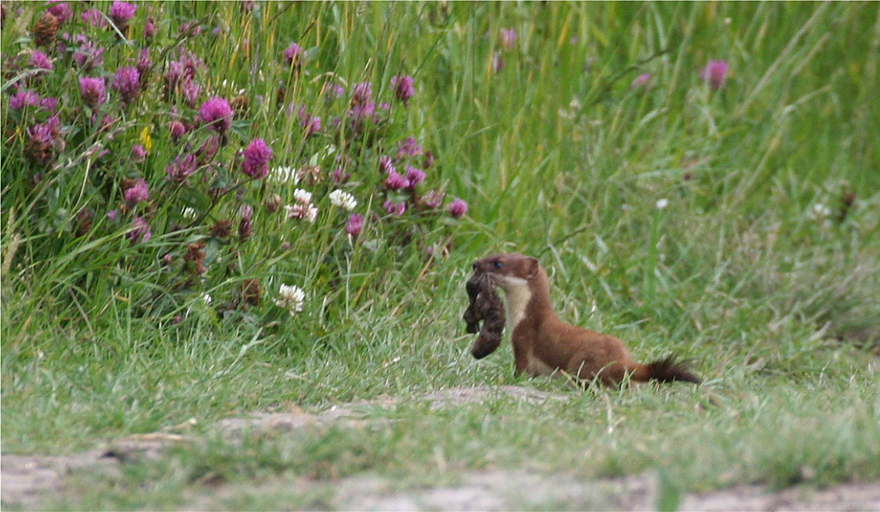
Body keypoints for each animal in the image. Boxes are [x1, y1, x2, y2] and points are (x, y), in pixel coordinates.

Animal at [470, 252, 696, 384]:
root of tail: (623, 360)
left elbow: (523, 369)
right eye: (494, 253)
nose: (475, 263)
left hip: (581, 362)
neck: (518, 316)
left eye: (498, 263)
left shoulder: (523, 339)